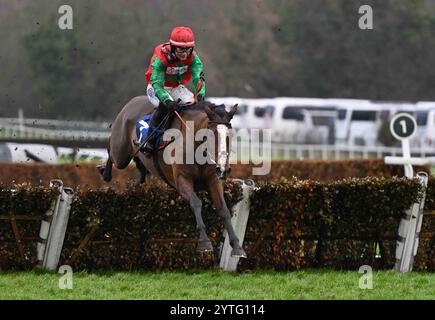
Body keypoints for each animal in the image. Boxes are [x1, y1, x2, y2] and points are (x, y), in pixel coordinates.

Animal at [99, 97, 249, 258]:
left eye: (230, 136)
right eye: (211, 134)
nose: (223, 169)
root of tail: (133, 101)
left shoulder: (213, 180)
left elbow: (223, 209)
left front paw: (237, 246)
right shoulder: (182, 180)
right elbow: (196, 203)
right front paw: (204, 242)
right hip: (120, 154)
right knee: (111, 151)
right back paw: (104, 171)